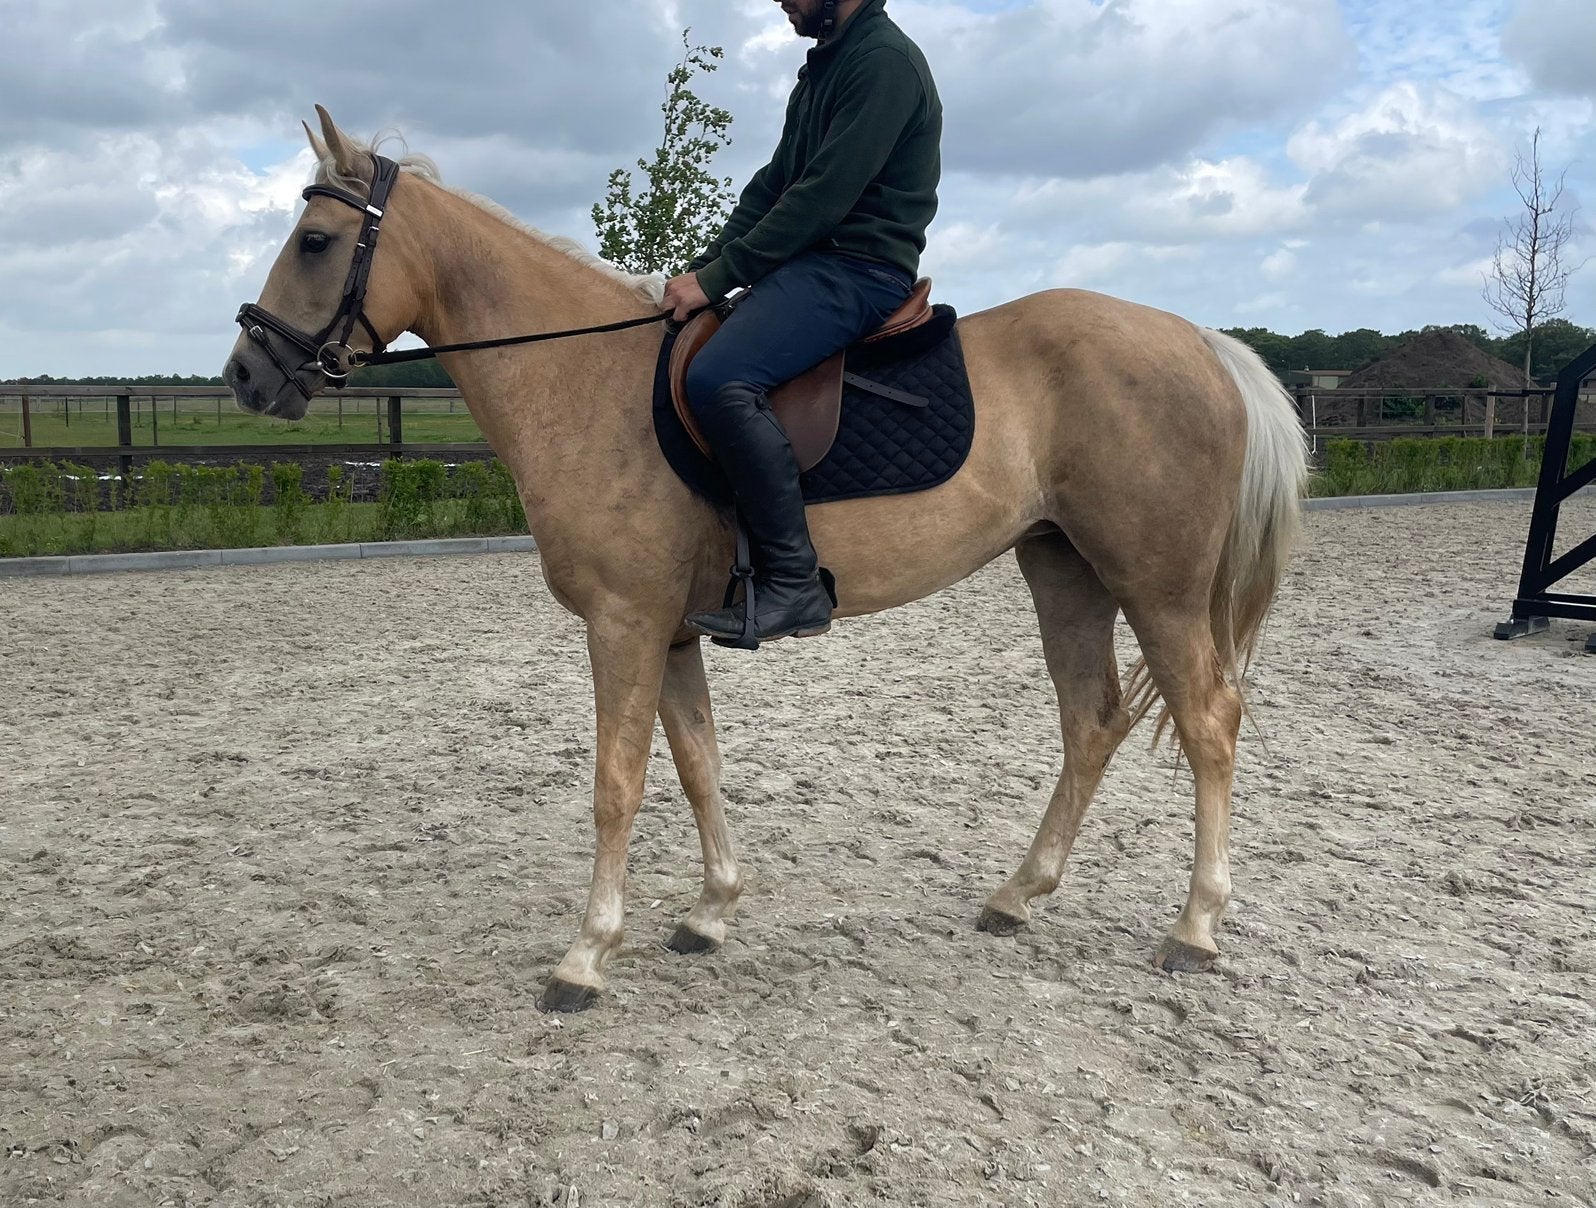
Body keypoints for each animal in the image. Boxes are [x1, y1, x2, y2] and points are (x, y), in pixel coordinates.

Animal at [224, 107, 1309, 1012]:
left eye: (316, 241)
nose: (244, 374)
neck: (584, 376)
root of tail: (1204, 342)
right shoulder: (668, 633)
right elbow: (698, 764)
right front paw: (710, 911)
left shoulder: (622, 624)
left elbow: (617, 784)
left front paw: (585, 954)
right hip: (1065, 570)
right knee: (1091, 721)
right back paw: (1017, 894)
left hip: (1157, 585)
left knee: (1209, 722)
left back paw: (1194, 927)